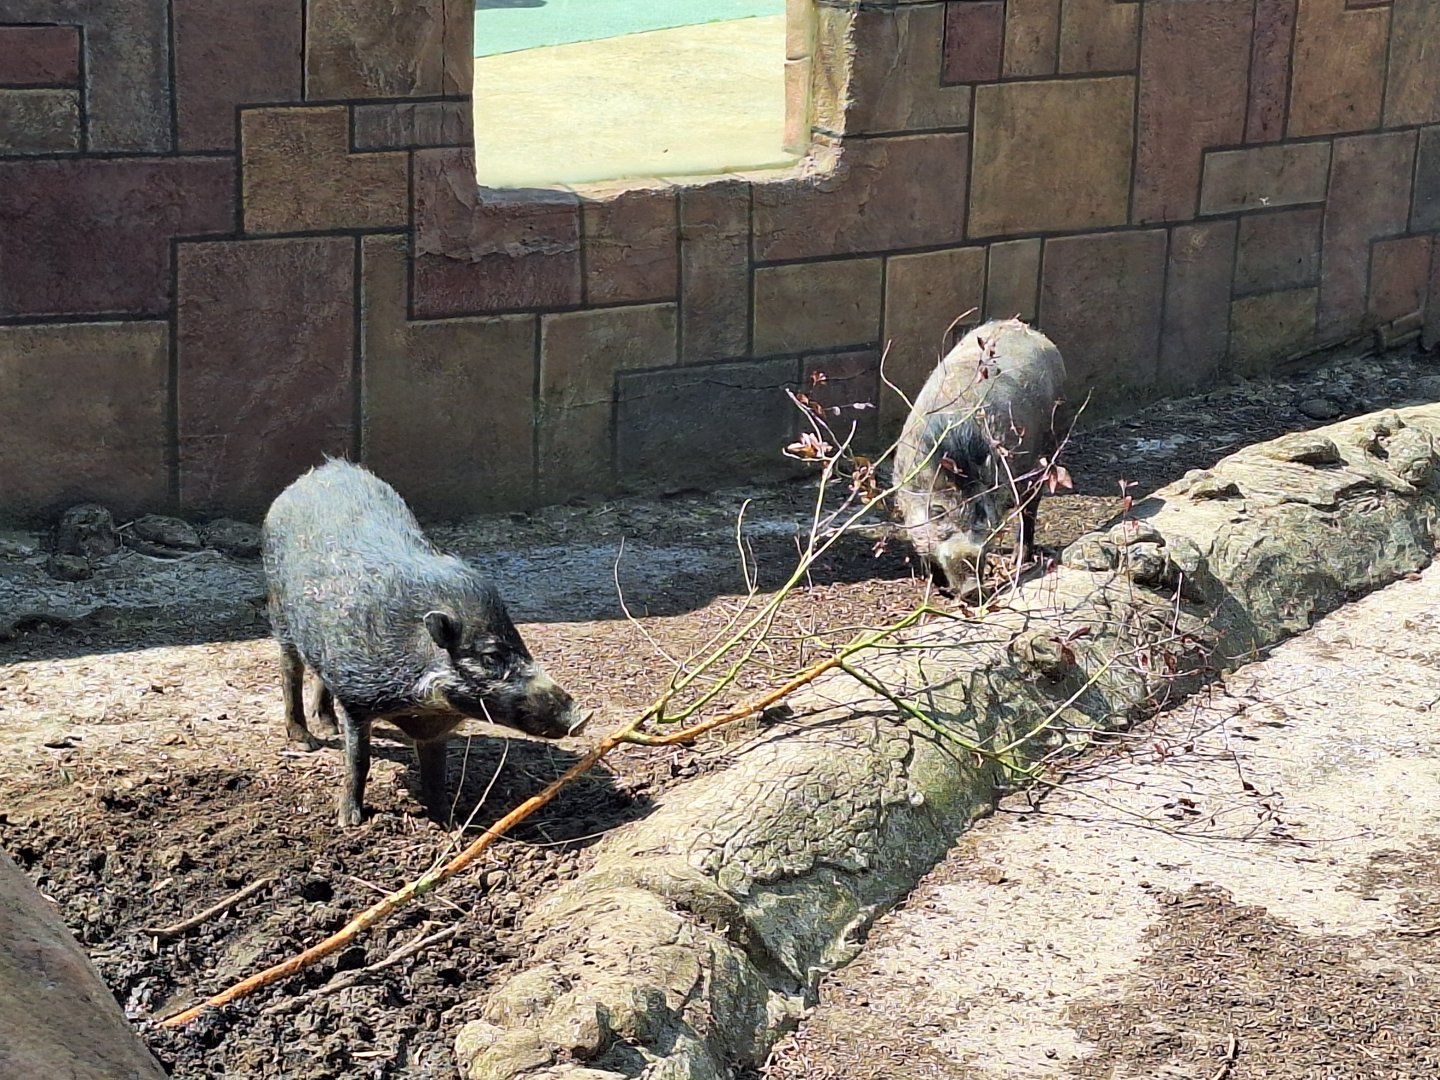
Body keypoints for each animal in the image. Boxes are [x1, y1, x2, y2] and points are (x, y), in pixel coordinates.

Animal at [261, 459, 583, 827]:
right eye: (490, 656)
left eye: (520, 643)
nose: (581, 717)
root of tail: (322, 471)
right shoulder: (357, 700)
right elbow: (358, 760)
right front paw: (349, 822)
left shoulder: (434, 726)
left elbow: (435, 773)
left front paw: (450, 823)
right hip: (279, 611)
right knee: (290, 670)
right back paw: (308, 742)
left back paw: (329, 728)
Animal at [891, 318, 1070, 594]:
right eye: (938, 511)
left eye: (983, 514)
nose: (972, 589)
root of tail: (1029, 329)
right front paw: (935, 585)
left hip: (1050, 448)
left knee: (1030, 508)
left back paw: (1019, 560)